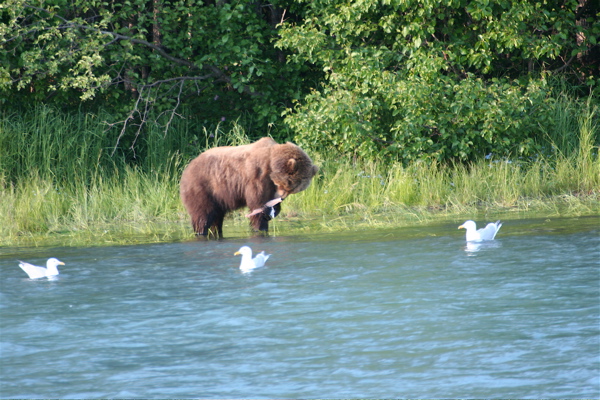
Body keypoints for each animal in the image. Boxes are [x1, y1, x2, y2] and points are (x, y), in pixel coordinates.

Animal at [179, 138, 318, 238]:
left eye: (293, 190)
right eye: (287, 184)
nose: (281, 198)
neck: (271, 164)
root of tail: (187, 167)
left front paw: (272, 212)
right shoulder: (256, 176)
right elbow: (256, 203)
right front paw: (260, 226)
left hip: (218, 197)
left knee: (217, 216)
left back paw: (216, 231)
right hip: (203, 187)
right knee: (203, 214)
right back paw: (201, 231)